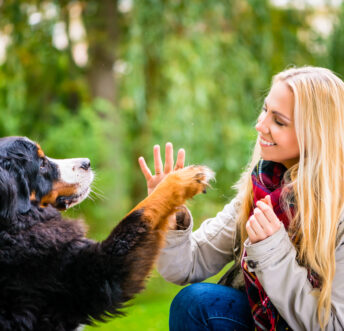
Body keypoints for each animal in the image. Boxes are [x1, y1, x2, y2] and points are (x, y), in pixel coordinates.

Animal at [0, 136, 214, 330]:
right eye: (42, 163)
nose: (87, 163)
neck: (14, 225)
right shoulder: (100, 274)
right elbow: (140, 211)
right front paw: (187, 177)